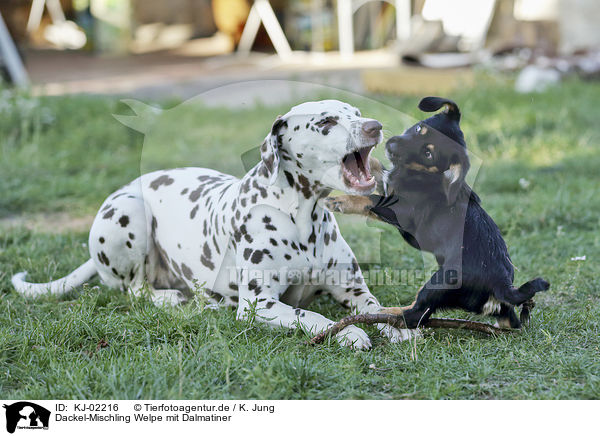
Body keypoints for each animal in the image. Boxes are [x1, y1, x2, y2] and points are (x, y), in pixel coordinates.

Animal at [10, 99, 412, 350]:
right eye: (327, 121)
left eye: (357, 113)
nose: (375, 126)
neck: (302, 216)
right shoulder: (260, 305)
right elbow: (312, 315)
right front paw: (350, 334)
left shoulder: (353, 290)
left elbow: (376, 306)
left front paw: (396, 328)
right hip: (127, 214)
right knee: (135, 290)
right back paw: (171, 297)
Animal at [328, 97, 548, 328]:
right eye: (418, 128)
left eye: (428, 154)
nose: (391, 145)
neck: (421, 173)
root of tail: (502, 286)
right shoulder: (389, 185)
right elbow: (380, 171)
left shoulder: (402, 212)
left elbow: (370, 200)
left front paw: (340, 200)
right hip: (499, 308)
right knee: (510, 321)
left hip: (439, 283)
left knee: (416, 315)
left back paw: (386, 313)